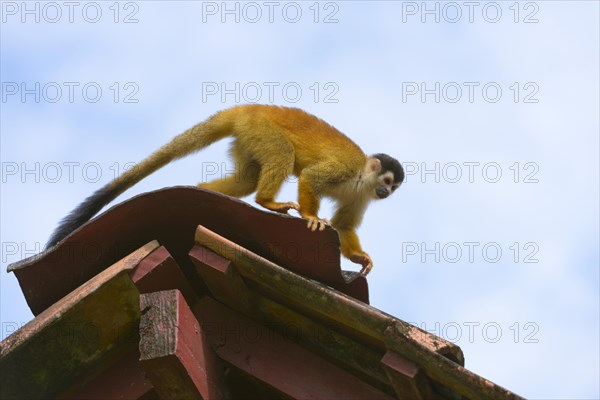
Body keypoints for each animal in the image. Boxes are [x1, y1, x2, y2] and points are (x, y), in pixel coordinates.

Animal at [47, 104, 404, 276]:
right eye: (388, 183)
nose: (387, 194)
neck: (362, 177)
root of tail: (249, 108)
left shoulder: (361, 195)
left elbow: (344, 224)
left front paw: (358, 258)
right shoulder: (345, 168)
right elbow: (311, 178)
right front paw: (310, 216)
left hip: (248, 136)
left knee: (247, 177)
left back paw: (202, 190)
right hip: (261, 129)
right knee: (282, 155)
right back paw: (267, 201)